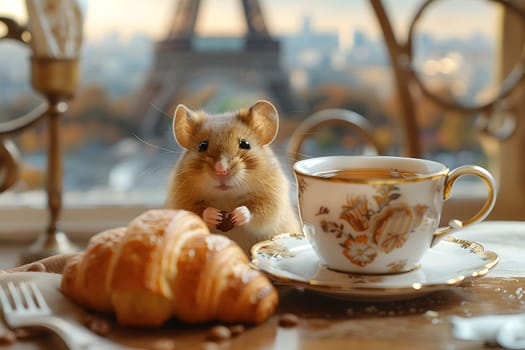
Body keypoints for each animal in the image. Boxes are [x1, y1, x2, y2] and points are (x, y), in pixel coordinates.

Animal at [166, 100, 300, 253]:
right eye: (202, 146)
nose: (221, 170)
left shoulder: (272, 199)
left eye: (245, 144)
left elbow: (256, 213)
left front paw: (238, 214)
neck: (226, 196)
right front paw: (214, 215)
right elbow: (198, 213)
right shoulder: (181, 200)